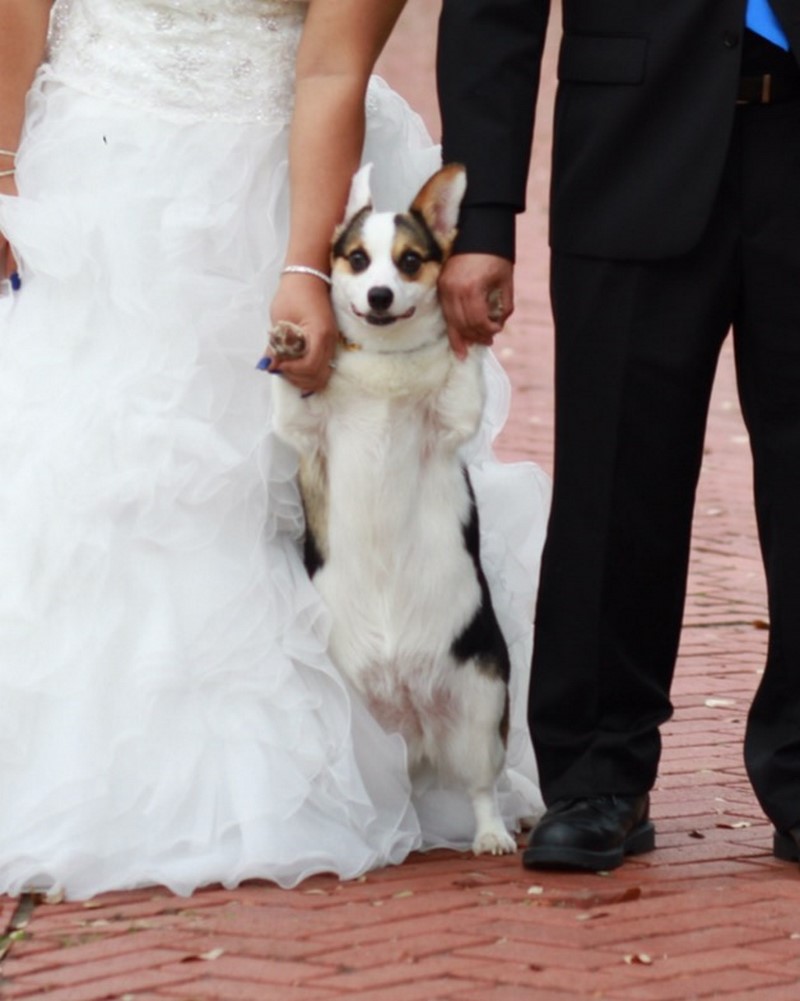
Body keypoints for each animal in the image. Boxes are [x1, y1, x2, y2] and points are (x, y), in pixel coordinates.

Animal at [272, 162, 516, 852]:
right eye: (357, 260)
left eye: (410, 262)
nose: (380, 295)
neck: (384, 366)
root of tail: (416, 727)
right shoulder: (304, 432)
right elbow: (291, 397)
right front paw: (290, 340)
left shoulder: (451, 422)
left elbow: (464, 373)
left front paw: (476, 316)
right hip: (362, 730)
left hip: (480, 712)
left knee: (481, 787)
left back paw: (491, 835)